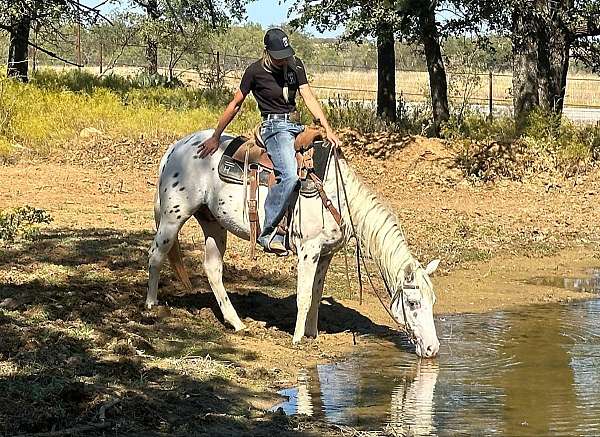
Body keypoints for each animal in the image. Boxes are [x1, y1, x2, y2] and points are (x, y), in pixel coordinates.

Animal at [146, 127, 440, 356]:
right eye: (413, 303)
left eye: (433, 301)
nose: (433, 349)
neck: (336, 196)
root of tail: (176, 147)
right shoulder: (308, 250)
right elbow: (304, 296)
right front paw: (298, 339)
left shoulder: (326, 253)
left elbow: (316, 294)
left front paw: (312, 334)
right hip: (174, 216)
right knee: (156, 255)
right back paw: (151, 307)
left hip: (213, 223)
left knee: (212, 269)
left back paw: (237, 323)